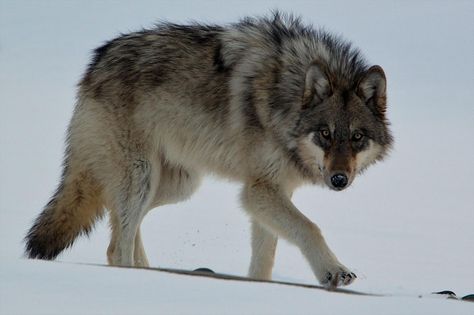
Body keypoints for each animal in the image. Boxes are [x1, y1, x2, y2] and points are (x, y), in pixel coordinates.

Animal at [25, 12, 392, 288]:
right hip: (143, 177)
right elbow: (309, 228)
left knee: (120, 222)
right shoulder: (259, 191)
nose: (339, 180)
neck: (285, 97)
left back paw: (148, 270)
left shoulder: (271, 192)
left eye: (357, 137)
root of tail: (96, 62)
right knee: (117, 246)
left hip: (175, 185)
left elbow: (265, 259)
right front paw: (334, 271)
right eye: (325, 134)